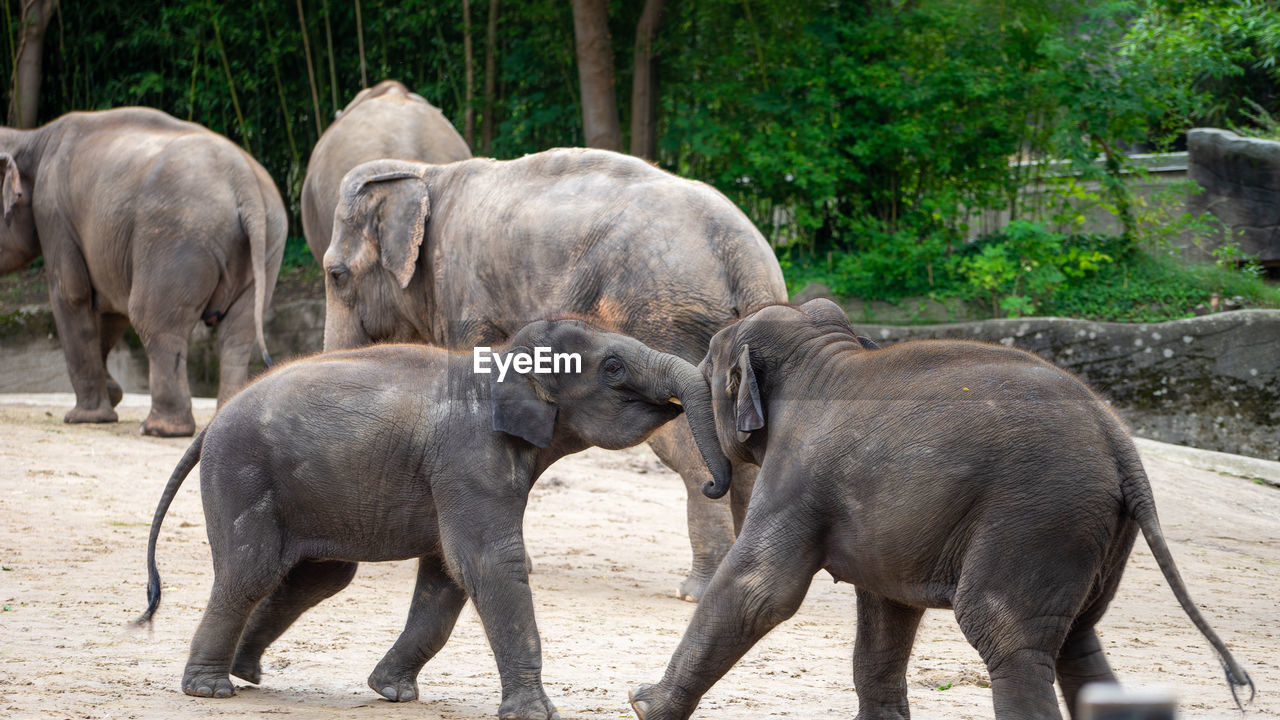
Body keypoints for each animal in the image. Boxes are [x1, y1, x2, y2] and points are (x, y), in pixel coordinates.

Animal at [0, 104, 282, 435]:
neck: (32, 137)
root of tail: (243, 179)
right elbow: (111, 310)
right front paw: (112, 395)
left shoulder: (53, 215)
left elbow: (73, 295)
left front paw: (84, 417)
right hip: (268, 242)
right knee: (238, 332)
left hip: (179, 236)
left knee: (154, 319)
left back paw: (159, 429)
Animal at [135, 317, 732, 717]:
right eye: (612, 367)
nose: (712, 481)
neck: (499, 361)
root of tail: (211, 425)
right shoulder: (470, 460)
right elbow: (490, 563)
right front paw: (537, 714)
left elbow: (448, 575)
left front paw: (392, 692)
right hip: (242, 473)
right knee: (251, 570)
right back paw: (210, 689)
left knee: (317, 577)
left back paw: (246, 671)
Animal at [322, 147, 788, 599]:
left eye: (336, 274)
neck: (427, 172)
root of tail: (746, 259)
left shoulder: (468, 301)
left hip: (664, 315)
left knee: (690, 449)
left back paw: (696, 590)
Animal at [629, 297, 1249, 717]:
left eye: (709, 367)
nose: (714, 483)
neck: (823, 353)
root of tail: (1118, 437)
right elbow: (886, 610)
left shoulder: (794, 476)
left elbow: (760, 591)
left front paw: (643, 703)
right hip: (1091, 528)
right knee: (1079, 642)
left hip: (1039, 516)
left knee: (1006, 635)